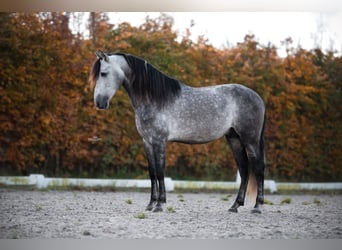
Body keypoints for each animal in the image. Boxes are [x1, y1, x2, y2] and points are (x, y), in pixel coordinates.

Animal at [89, 51, 266, 214]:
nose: (99, 103)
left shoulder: (159, 141)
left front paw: (160, 205)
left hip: (250, 139)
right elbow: (152, 172)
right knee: (244, 169)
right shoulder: (147, 141)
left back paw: (257, 207)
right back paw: (235, 206)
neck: (154, 99)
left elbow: (160, 171)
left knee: (258, 168)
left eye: (103, 73)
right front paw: (150, 204)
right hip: (234, 139)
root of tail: (258, 97)